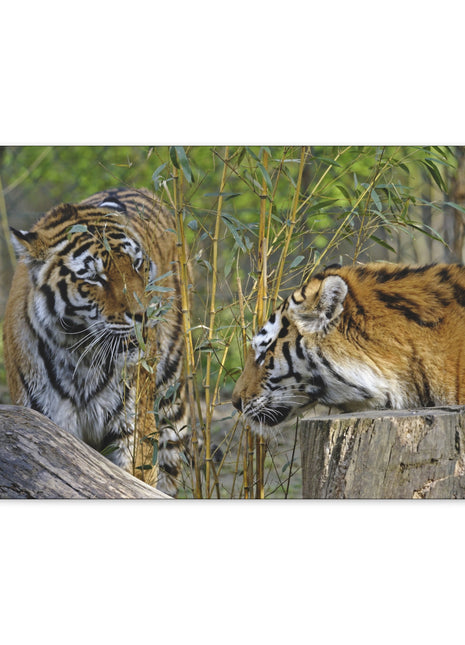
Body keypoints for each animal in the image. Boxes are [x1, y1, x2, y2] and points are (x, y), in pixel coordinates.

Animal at [3, 187, 191, 497]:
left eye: (137, 264)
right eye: (94, 277)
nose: (144, 315)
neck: (80, 353)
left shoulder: (133, 429)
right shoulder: (48, 425)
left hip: (170, 400)